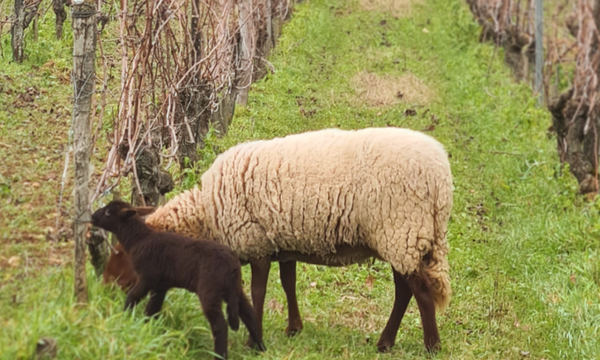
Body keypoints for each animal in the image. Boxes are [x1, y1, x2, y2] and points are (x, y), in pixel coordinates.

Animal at [91, 200, 264, 360]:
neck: (139, 239)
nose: (92, 217)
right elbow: (153, 308)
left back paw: (220, 355)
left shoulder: (148, 277)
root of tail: (232, 265)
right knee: (249, 315)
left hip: (210, 290)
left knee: (220, 325)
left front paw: (126, 316)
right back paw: (261, 349)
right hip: (234, 289)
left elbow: (133, 296)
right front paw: (148, 329)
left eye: (108, 212)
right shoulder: (160, 285)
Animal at [104, 126, 450, 352]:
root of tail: (442, 177)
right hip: (405, 236)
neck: (207, 213)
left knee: (419, 292)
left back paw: (431, 345)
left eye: (122, 251)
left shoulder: (255, 241)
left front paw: (252, 338)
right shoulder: (283, 242)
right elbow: (288, 284)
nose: (106, 287)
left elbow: (257, 292)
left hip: (400, 230)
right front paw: (293, 328)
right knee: (405, 291)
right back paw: (386, 342)